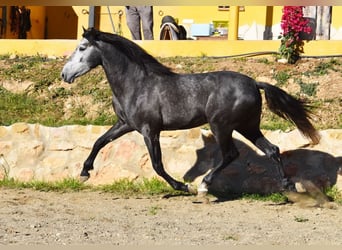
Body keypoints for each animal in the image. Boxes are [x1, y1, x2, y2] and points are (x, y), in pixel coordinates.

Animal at [62, 27, 320, 195]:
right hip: (247, 126)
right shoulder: (125, 124)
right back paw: (288, 186)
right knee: (272, 150)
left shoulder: (149, 130)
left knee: (231, 154)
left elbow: (157, 164)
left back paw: (204, 185)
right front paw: (84, 172)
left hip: (222, 126)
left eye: (82, 47)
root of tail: (254, 83)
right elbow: (99, 141)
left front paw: (183, 185)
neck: (137, 84)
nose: (65, 74)